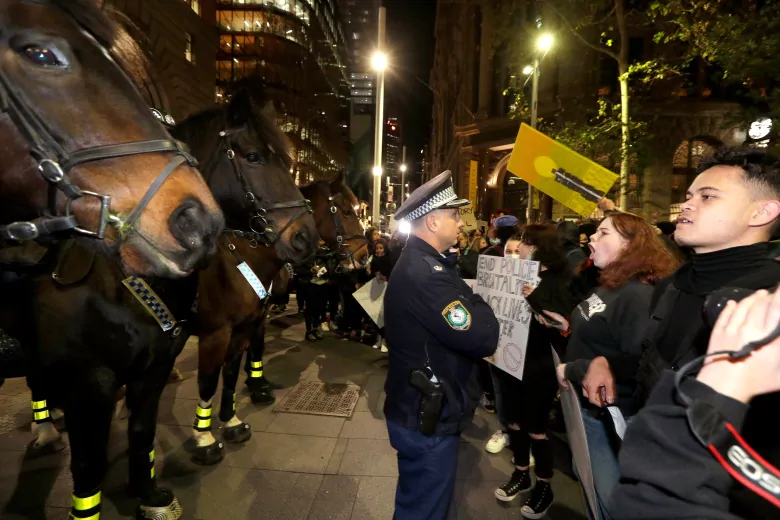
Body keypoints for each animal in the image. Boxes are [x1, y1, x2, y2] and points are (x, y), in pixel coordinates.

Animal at [0, 86, 316, 520]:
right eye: (253, 156)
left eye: (288, 161)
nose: (305, 237)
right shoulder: (96, 379)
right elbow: (205, 382)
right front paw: (205, 440)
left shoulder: (205, 342)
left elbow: (185, 401)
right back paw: (45, 429)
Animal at [184, 174, 368, 464]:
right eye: (347, 211)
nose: (364, 256)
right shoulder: (217, 331)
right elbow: (210, 378)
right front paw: (206, 437)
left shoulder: (256, 315)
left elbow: (251, 352)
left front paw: (255, 385)